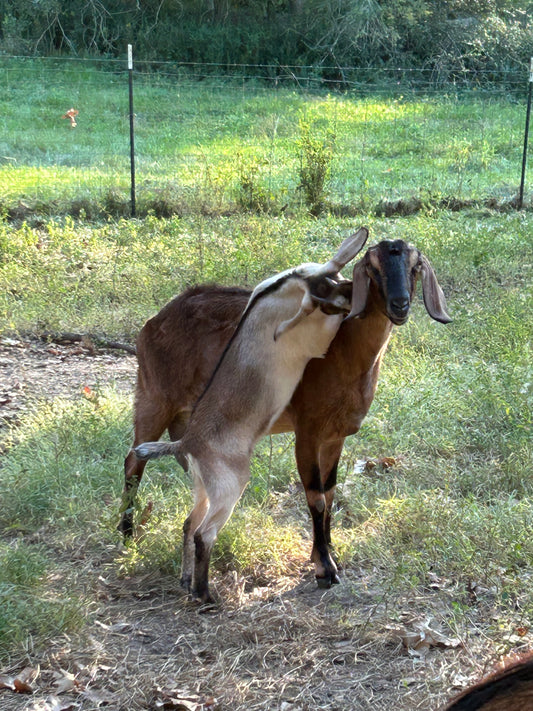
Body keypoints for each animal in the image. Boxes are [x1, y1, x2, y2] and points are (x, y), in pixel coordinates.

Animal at [119, 234, 448, 588]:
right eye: (372, 269)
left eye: (415, 267)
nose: (400, 305)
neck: (346, 353)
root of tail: (156, 320)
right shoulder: (308, 432)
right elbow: (316, 497)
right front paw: (324, 568)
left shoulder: (336, 436)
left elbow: (331, 492)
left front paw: (329, 550)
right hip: (154, 397)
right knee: (133, 461)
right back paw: (126, 535)